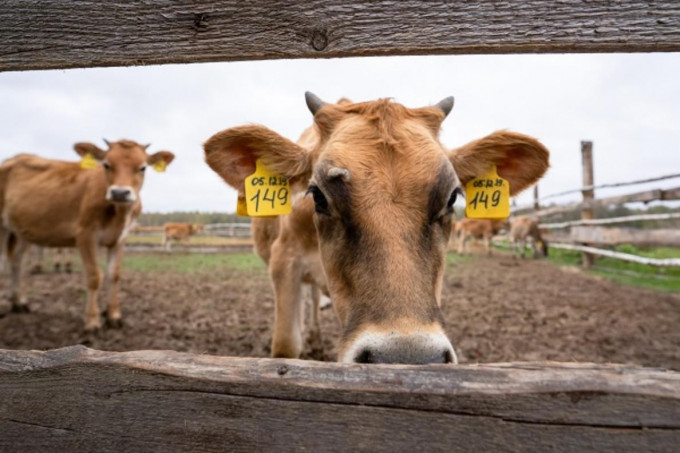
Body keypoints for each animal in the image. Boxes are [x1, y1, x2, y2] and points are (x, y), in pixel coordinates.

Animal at [1, 139, 175, 330]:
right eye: (106, 164)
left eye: (142, 167)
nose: (120, 192)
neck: (118, 214)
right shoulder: (85, 234)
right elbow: (94, 276)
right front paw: (92, 320)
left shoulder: (120, 239)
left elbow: (114, 274)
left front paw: (114, 316)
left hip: (23, 230)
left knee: (16, 261)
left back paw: (19, 303)